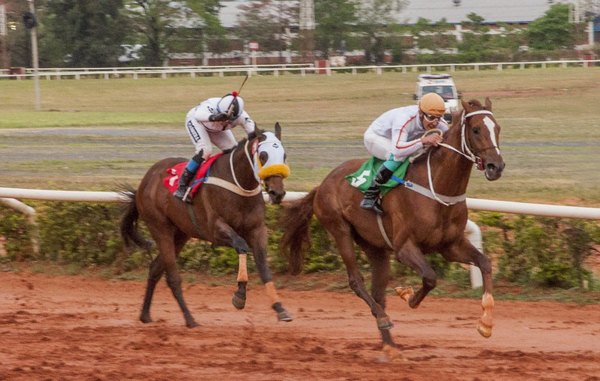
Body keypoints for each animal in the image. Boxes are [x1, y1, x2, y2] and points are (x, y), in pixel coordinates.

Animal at [120, 122, 292, 326]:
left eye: (284, 155)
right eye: (263, 155)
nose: (277, 193)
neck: (238, 184)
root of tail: (144, 183)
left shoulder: (257, 230)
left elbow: (264, 268)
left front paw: (280, 309)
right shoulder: (215, 230)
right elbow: (242, 246)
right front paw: (239, 296)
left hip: (181, 234)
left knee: (155, 269)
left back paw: (145, 314)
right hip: (160, 227)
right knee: (172, 276)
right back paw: (189, 319)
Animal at [280, 98, 502, 354]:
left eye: (497, 128)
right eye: (476, 129)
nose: (496, 166)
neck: (437, 186)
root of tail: (321, 185)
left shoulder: (450, 245)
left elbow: (485, 263)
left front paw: (486, 323)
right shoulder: (404, 247)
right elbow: (430, 277)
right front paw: (407, 294)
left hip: (374, 246)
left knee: (378, 292)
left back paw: (390, 347)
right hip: (340, 230)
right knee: (356, 281)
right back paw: (383, 319)